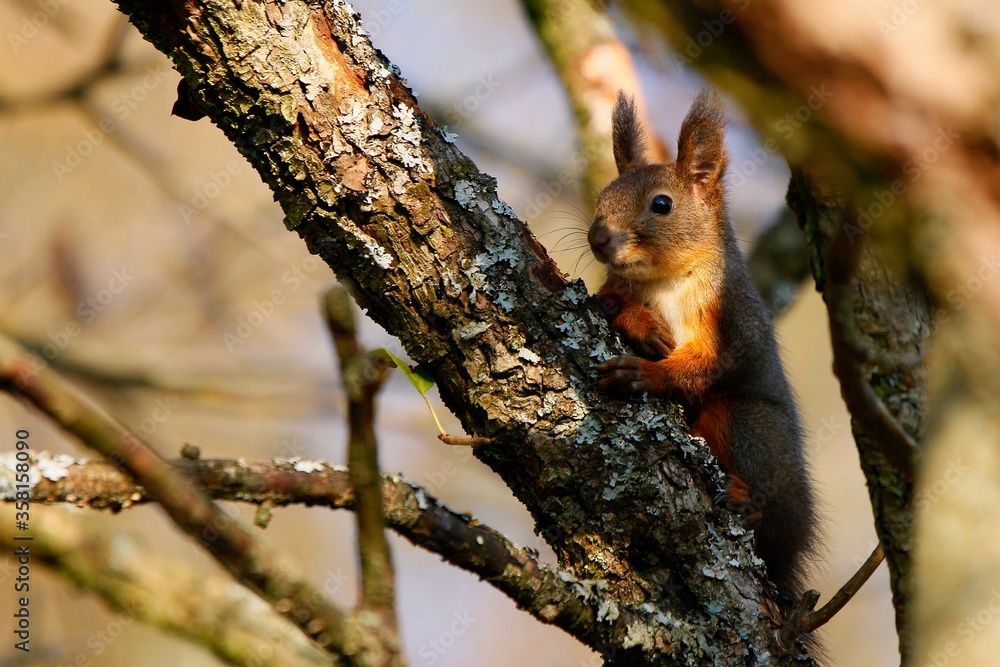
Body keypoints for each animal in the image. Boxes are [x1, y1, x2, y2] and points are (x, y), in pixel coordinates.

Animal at [588, 90, 817, 599]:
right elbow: (609, 302)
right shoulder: (612, 288)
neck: (666, 279)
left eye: (662, 204)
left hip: (749, 425)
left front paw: (644, 373)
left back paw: (746, 502)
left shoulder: (732, 321)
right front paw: (644, 326)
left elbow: (706, 364)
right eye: (600, 199)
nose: (597, 238)